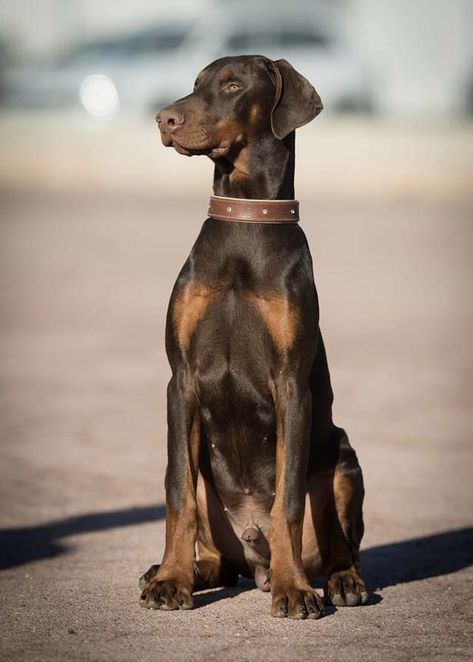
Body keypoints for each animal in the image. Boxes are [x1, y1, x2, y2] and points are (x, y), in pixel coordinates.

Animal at [138, 54, 366, 620]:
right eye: (195, 83)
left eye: (234, 85)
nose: (164, 119)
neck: (244, 225)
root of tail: (252, 556)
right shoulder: (182, 381)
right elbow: (176, 492)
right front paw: (170, 579)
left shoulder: (291, 385)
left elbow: (288, 500)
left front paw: (294, 589)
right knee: (216, 552)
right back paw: (183, 570)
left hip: (343, 459)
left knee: (341, 545)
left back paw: (338, 581)